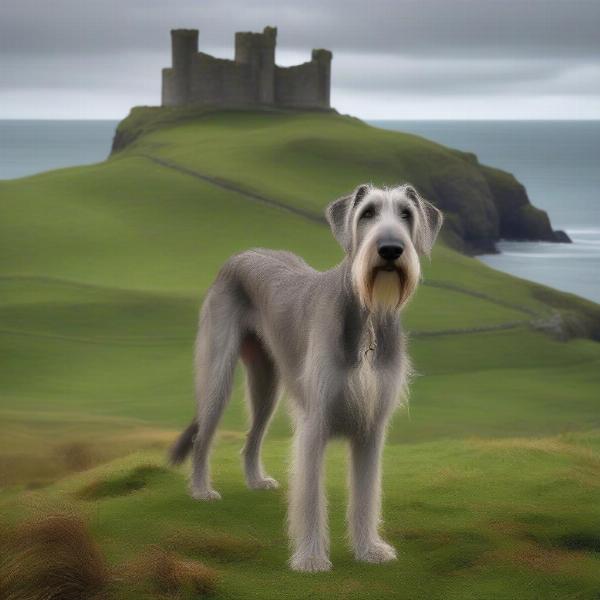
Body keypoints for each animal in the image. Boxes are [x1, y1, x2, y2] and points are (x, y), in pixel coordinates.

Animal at [171, 182, 442, 572]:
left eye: (406, 213)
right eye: (368, 213)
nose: (391, 249)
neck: (367, 318)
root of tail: (239, 254)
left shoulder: (372, 427)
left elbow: (366, 494)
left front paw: (368, 549)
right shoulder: (315, 422)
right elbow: (311, 496)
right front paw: (311, 558)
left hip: (268, 382)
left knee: (252, 436)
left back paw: (255, 480)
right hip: (218, 374)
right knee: (203, 436)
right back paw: (200, 490)